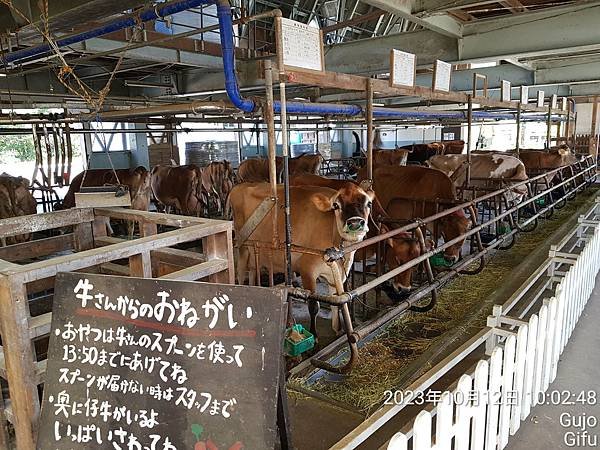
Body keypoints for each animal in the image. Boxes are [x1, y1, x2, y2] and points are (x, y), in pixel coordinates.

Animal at [231, 181, 376, 336]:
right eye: (336, 205)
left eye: (369, 203)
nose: (355, 223)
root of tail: (241, 185)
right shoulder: (308, 270)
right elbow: (313, 306)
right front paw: (315, 336)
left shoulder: (336, 276)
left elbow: (335, 301)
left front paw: (338, 330)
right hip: (242, 244)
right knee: (241, 271)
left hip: (253, 252)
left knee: (252, 270)